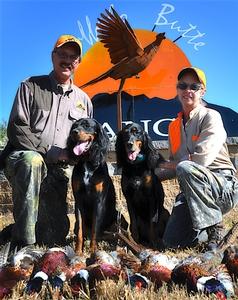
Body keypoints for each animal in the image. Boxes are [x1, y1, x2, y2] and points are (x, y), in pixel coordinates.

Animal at [67, 118, 126, 253]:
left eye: (86, 125)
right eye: (74, 125)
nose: (73, 132)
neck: (87, 162)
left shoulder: (99, 200)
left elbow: (95, 229)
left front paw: (93, 251)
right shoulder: (78, 200)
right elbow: (80, 231)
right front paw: (78, 251)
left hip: (120, 219)